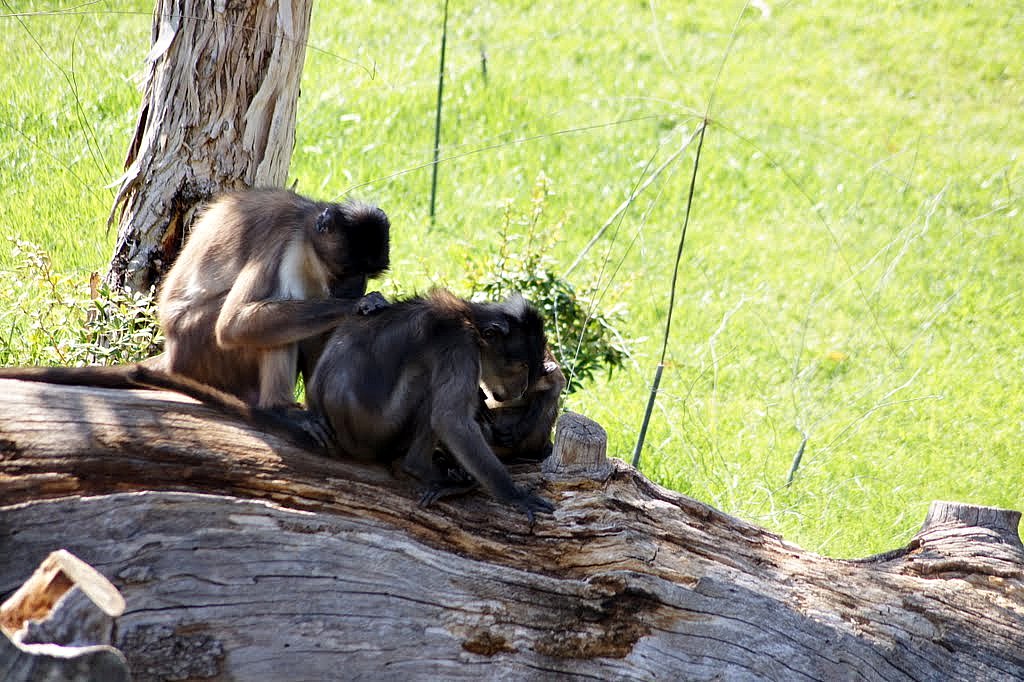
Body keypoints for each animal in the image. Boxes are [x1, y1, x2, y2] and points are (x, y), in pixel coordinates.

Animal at [0, 187, 389, 403]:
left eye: (367, 274)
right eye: (349, 271)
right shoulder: (280, 240)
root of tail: (173, 352)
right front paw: (357, 306)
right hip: (198, 343)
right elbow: (234, 325)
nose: (357, 287)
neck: (306, 230)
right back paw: (278, 412)